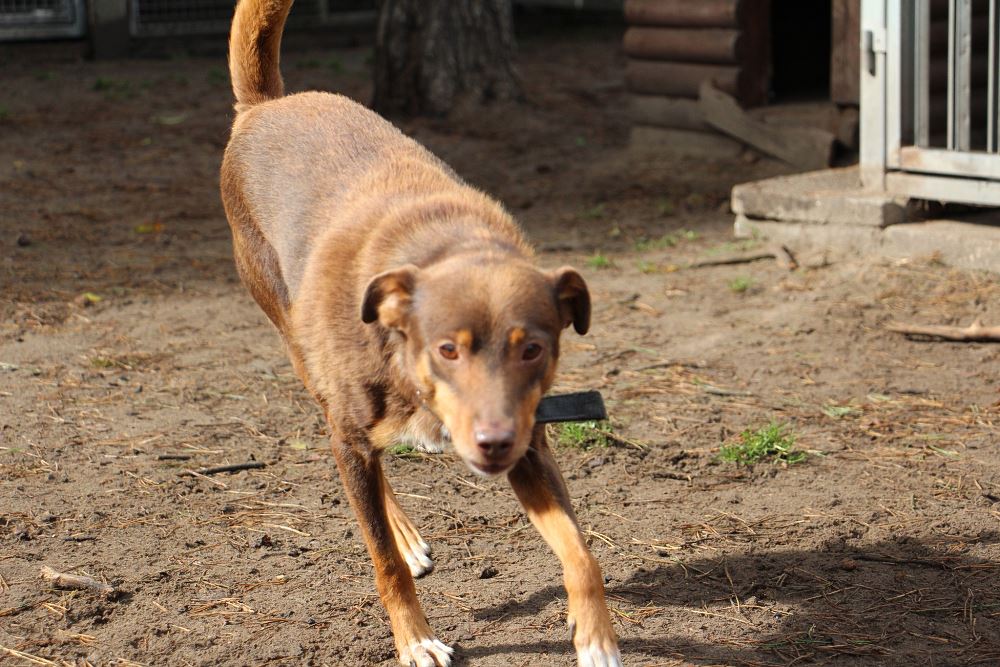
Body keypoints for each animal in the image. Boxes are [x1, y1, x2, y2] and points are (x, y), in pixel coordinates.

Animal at [220, 1, 621, 665]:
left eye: (534, 349)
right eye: (447, 349)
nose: (492, 444)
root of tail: (265, 104)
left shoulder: (530, 445)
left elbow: (580, 550)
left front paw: (595, 636)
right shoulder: (351, 437)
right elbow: (381, 560)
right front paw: (415, 639)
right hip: (300, 350)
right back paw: (403, 538)